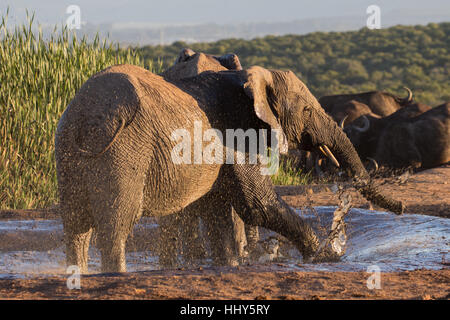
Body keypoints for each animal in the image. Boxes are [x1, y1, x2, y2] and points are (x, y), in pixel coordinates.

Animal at [55, 64, 404, 272]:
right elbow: (257, 205)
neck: (252, 79)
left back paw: (77, 274)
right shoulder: (235, 132)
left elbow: (218, 207)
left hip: (69, 152)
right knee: (115, 227)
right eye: (306, 109)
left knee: (75, 228)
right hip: (124, 153)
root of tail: (89, 112)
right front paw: (325, 256)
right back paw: (116, 274)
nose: (401, 207)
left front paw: (230, 265)